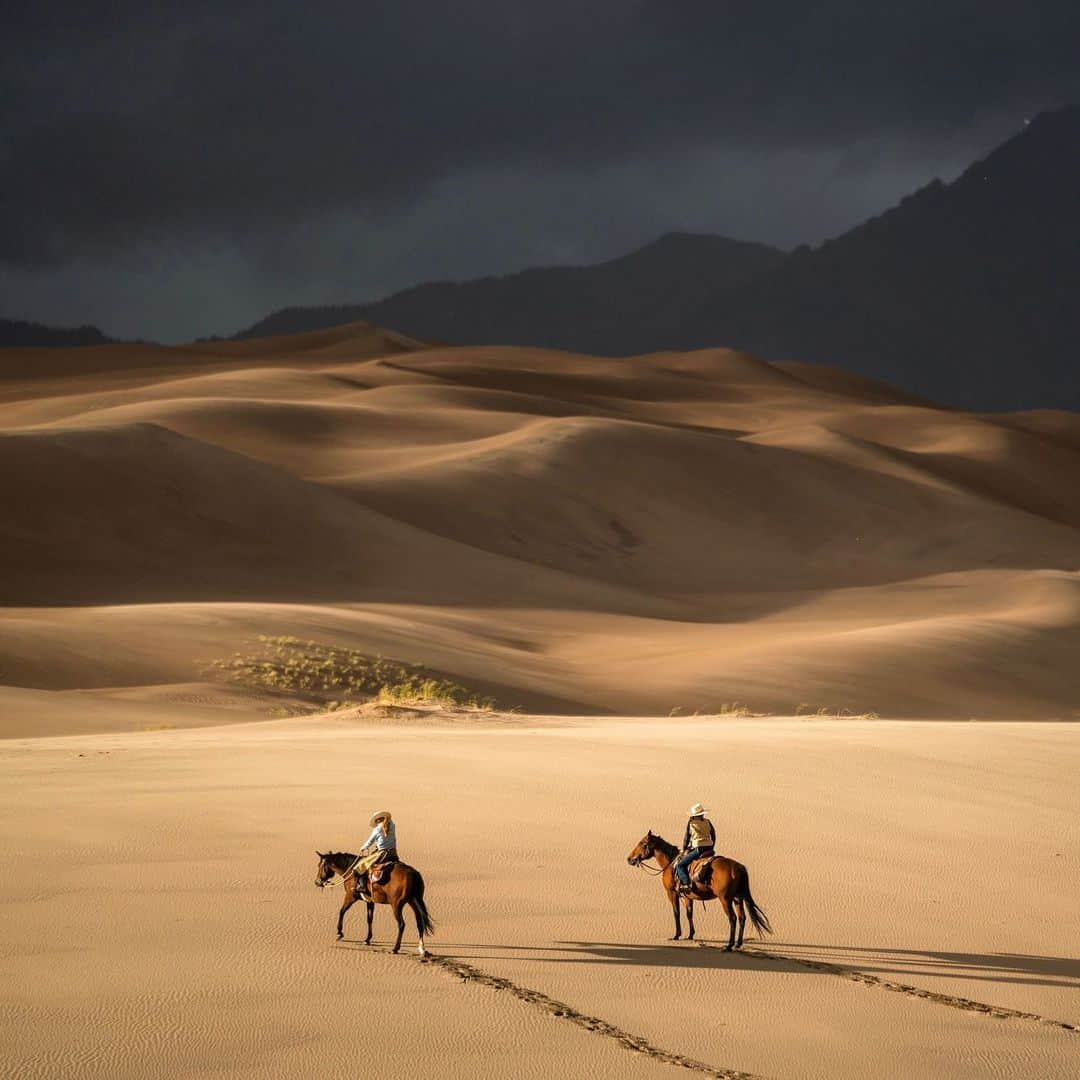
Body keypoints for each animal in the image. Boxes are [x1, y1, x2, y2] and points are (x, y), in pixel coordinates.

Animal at [630, 829, 773, 950]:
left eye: (642, 843)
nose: (630, 858)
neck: (670, 863)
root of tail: (738, 867)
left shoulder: (672, 893)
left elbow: (676, 913)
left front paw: (676, 935)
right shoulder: (688, 896)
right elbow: (689, 913)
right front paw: (690, 935)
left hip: (725, 899)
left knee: (732, 918)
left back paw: (729, 945)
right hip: (738, 898)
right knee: (742, 917)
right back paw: (738, 944)